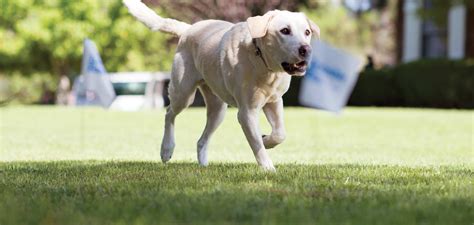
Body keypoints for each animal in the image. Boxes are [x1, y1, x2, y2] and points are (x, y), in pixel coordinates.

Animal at [124, 0, 320, 171]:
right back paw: (166, 149)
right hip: (183, 93)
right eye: (285, 30)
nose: (306, 49)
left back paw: (203, 166)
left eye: (307, 32)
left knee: (201, 140)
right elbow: (256, 144)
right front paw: (268, 168)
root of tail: (189, 28)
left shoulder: (274, 102)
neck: (263, 63)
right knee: (169, 113)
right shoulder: (247, 112)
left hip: (218, 110)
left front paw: (266, 140)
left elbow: (280, 134)